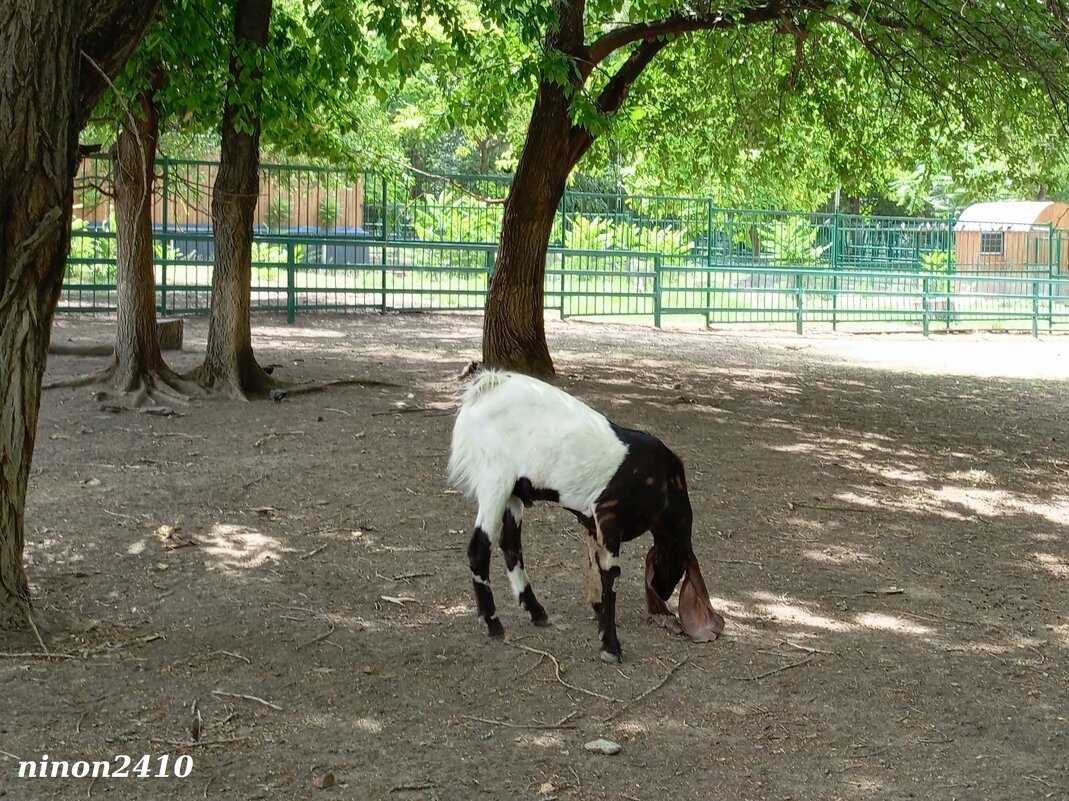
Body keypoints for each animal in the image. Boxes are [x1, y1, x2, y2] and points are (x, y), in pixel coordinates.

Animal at [446, 365, 722, 658]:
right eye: (675, 567)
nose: (661, 592)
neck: (666, 485)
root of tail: (486, 386)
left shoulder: (593, 525)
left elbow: (595, 569)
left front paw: (598, 616)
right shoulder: (609, 516)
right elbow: (610, 577)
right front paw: (610, 646)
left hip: (513, 492)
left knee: (510, 546)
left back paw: (536, 611)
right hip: (494, 481)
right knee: (479, 548)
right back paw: (492, 622)